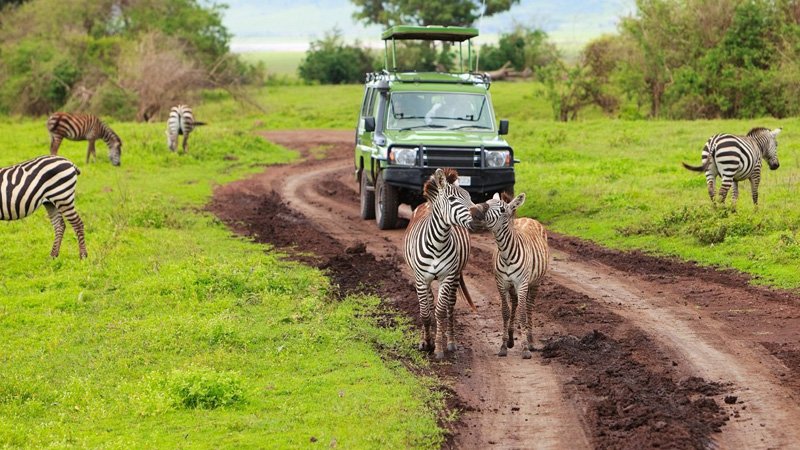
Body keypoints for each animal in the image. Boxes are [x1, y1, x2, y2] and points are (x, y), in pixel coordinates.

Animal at [404, 167, 478, 360]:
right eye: (452, 199)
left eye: (469, 196)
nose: (479, 215)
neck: (438, 242)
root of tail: (427, 203)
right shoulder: (421, 279)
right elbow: (425, 313)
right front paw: (426, 342)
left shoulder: (447, 277)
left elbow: (440, 312)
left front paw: (438, 348)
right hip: (425, 279)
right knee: (429, 304)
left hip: (455, 276)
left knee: (449, 307)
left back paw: (450, 341)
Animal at [468, 192, 552, 358]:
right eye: (487, 201)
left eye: (502, 209)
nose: (474, 211)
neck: (506, 253)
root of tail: (528, 218)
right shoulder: (501, 283)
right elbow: (505, 312)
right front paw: (503, 346)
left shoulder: (522, 283)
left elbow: (522, 314)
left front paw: (525, 348)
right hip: (513, 286)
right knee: (515, 303)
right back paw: (512, 339)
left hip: (535, 282)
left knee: (529, 306)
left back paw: (530, 341)